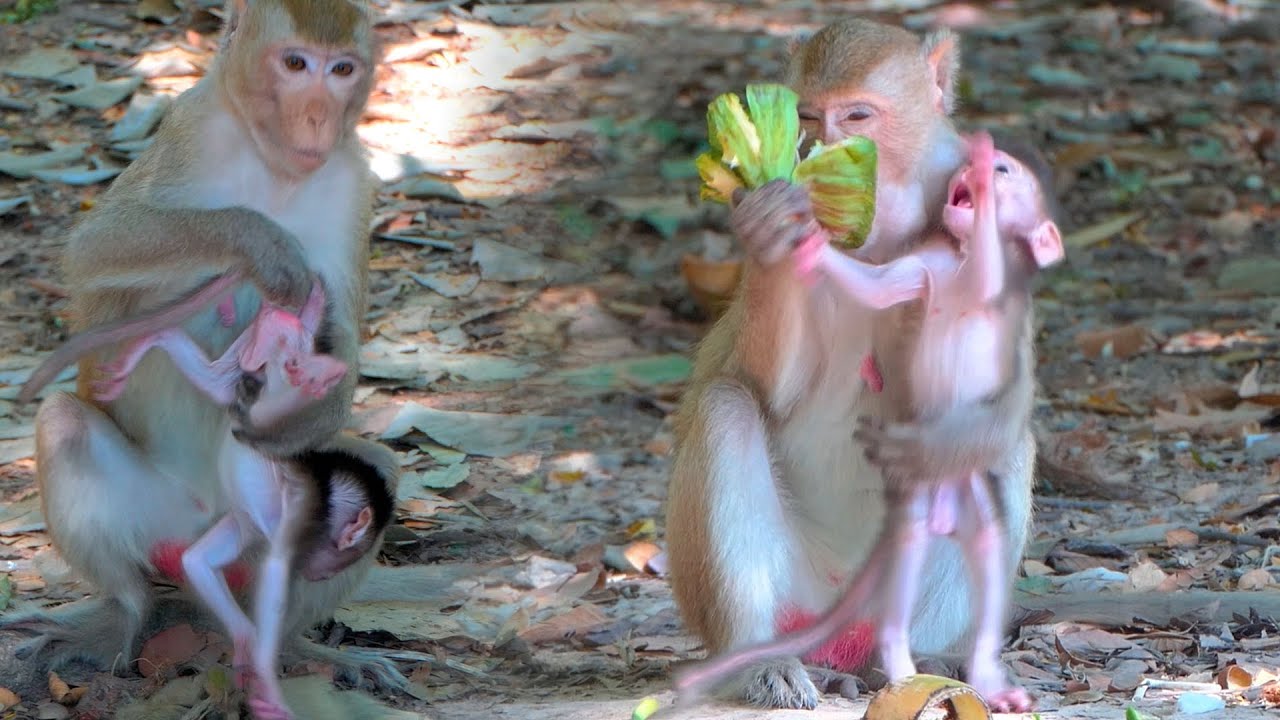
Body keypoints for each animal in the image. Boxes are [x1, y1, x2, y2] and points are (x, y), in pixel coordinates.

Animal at [0, 0, 400, 690]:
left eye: (342, 70)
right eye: (297, 64)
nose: (318, 117)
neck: (271, 170)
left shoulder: (352, 179)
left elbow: (343, 331)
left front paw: (306, 404)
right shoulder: (190, 130)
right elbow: (95, 249)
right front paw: (254, 238)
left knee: (377, 468)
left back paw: (293, 647)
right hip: (159, 515)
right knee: (65, 426)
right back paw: (124, 615)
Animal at [665, 19, 1037, 709]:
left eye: (858, 116)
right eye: (809, 117)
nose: (821, 149)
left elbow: (997, 395)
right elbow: (762, 387)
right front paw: (771, 225)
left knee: (998, 446)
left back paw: (933, 660)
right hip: (780, 594)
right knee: (727, 407)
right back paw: (758, 661)